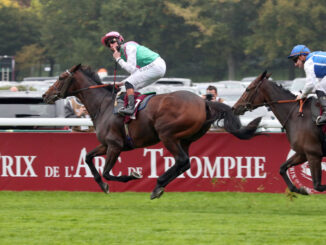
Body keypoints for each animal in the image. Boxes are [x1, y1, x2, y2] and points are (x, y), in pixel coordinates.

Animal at [44, 63, 262, 199]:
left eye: (61, 77)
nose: (45, 95)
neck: (103, 105)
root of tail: (204, 101)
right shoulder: (106, 145)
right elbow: (88, 158)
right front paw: (103, 186)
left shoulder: (115, 145)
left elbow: (108, 172)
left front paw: (132, 176)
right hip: (186, 139)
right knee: (185, 163)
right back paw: (159, 186)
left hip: (168, 135)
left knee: (182, 160)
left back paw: (158, 183)